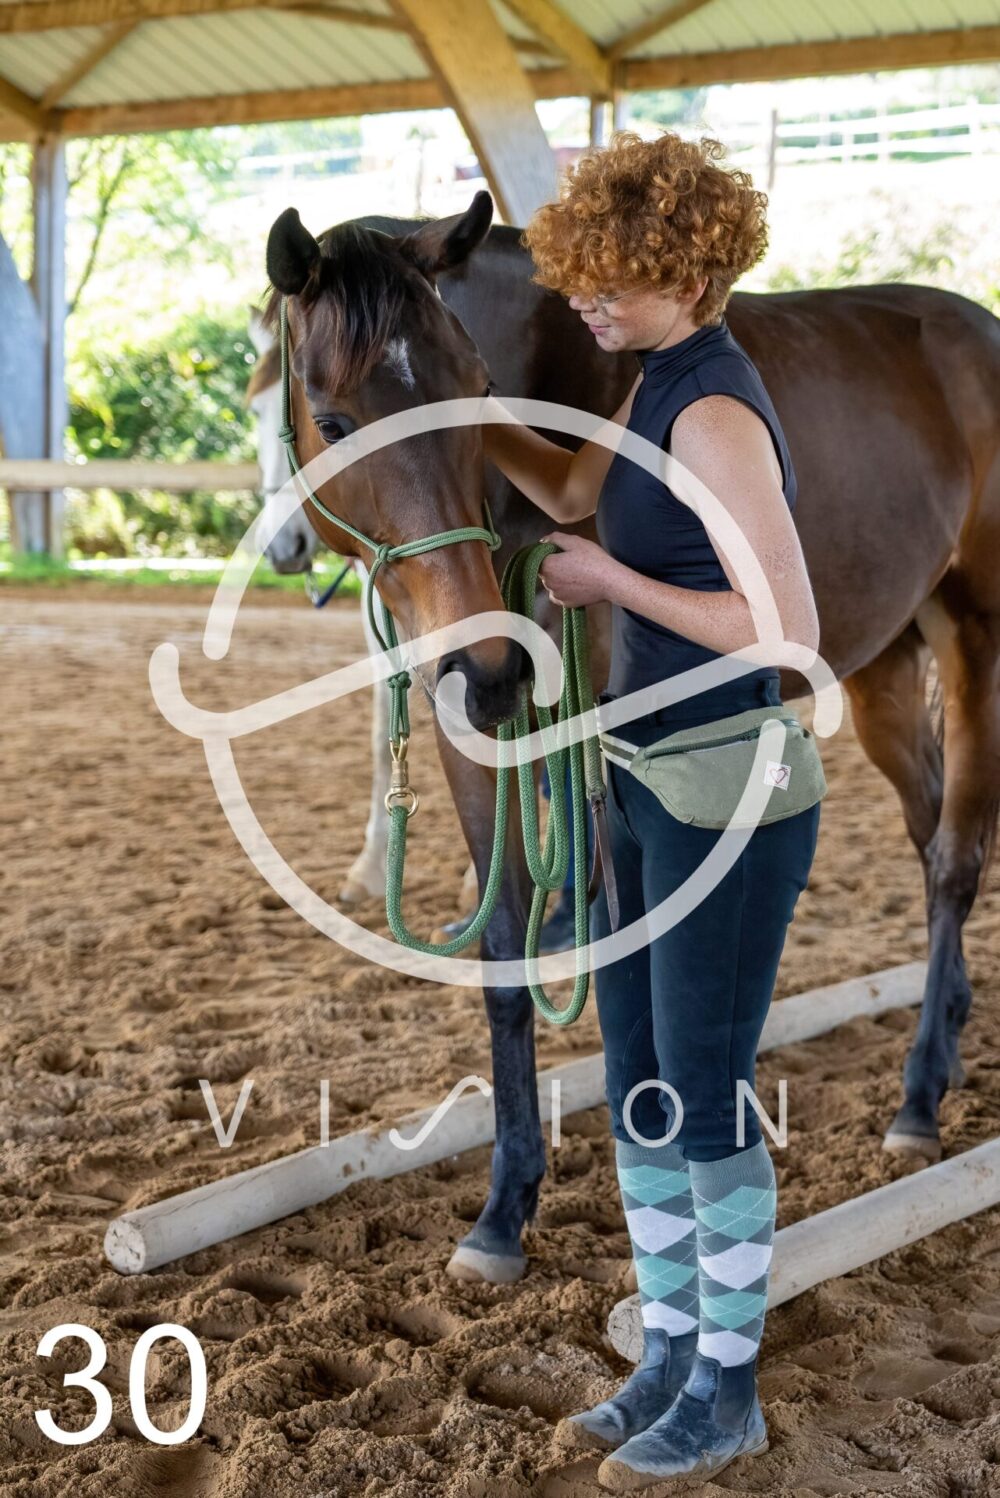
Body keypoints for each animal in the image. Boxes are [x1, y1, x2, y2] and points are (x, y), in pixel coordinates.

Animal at [263, 191, 1000, 1284]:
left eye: (477, 393)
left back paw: (918, 1097)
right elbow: (505, 955)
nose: (491, 668)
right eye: (336, 419)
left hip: (975, 635)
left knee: (954, 857)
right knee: (929, 836)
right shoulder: (471, 732)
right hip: (881, 668)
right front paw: (502, 1211)